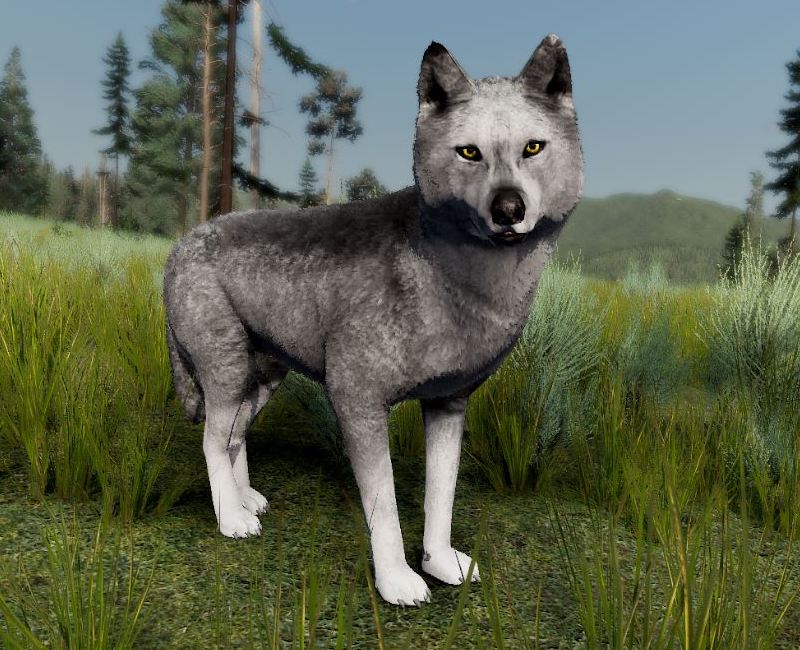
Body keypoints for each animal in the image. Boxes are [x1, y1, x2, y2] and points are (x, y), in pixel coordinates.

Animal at [163, 33, 583, 606]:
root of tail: (178, 247)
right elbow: (383, 507)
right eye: (469, 152)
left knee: (232, 437)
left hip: (264, 380)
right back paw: (231, 520)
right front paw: (397, 581)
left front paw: (440, 563)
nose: (508, 209)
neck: (456, 282)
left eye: (533, 149)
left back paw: (246, 499)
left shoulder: (449, 404)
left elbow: (441, 497)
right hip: (225, 373)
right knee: (210, 438)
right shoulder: (357, 401)